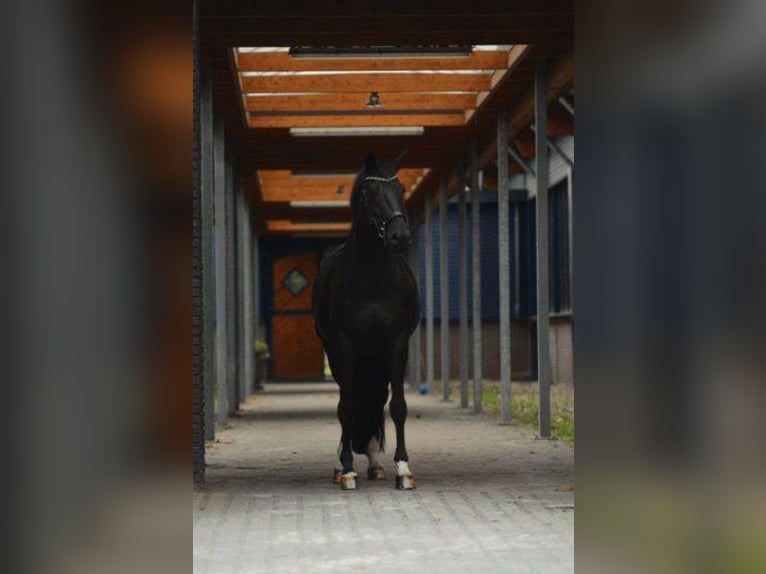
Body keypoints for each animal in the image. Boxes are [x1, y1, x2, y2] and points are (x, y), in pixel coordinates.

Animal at [312, 151, 420, 491]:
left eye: (400, 189)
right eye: (371, 193)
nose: (400, 237)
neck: (373, 278)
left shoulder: (397, 343)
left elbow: (397, 406)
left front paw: (403, 469)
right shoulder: (344, 345)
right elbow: (346, 407)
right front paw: (346, 469)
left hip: (376, 357)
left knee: (376, 398)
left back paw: (374, 462)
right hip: (340, 356)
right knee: (346, 400)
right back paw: (342, 464)